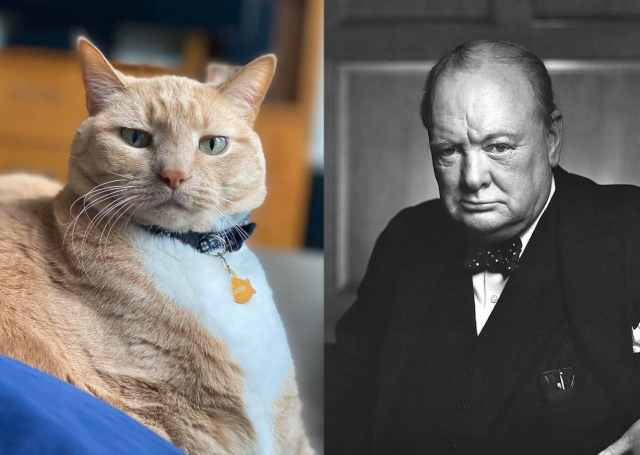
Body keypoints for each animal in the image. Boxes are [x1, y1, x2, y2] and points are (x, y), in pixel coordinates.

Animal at [0, 39, 312, 455]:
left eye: (213, 145)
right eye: (135, 138)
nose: (174, 175)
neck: (193, 249)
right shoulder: (160, 416)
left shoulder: (294, 435)